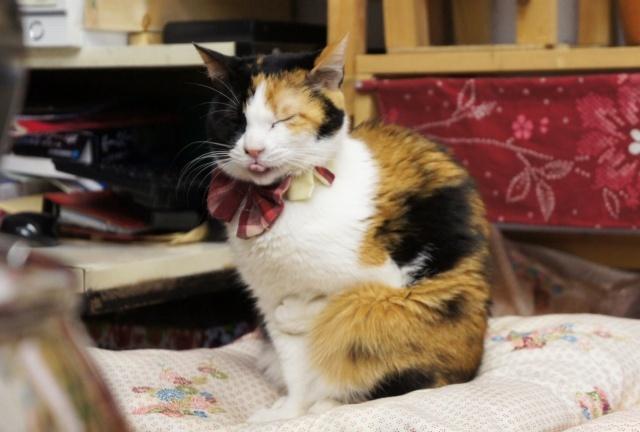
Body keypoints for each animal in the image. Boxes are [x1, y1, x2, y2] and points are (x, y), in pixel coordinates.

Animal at [195, 38, 491, 423]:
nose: (254, 149)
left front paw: (298, 313)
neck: (277, 201)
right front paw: (290, 414)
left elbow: (337, 298)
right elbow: (294, 366)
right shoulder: (267, 294)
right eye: (235, 121)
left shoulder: (388, 278)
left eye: (283, 119)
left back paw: (329, 401)